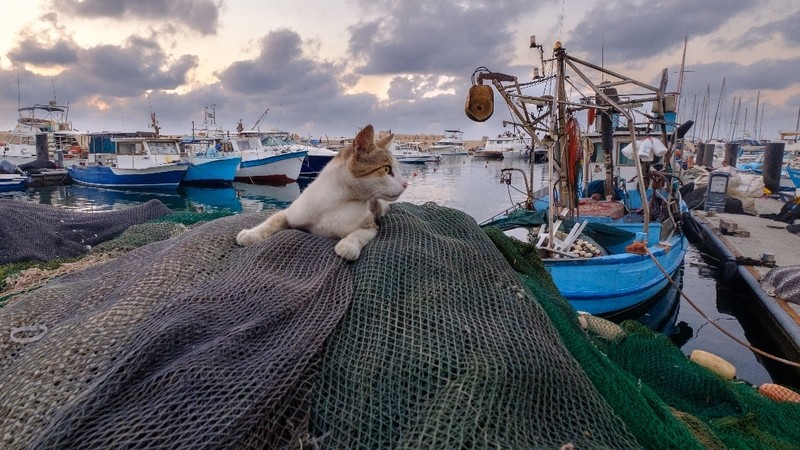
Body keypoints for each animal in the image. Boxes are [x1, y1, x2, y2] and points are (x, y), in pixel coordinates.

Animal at [233, 125, 406, 262]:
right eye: (386, 169)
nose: (406, 184)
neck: (334, 201)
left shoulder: (372, 225)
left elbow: (361, 233)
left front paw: (348, 244)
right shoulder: (291, 212)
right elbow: (272, 220)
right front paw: (251, 233)